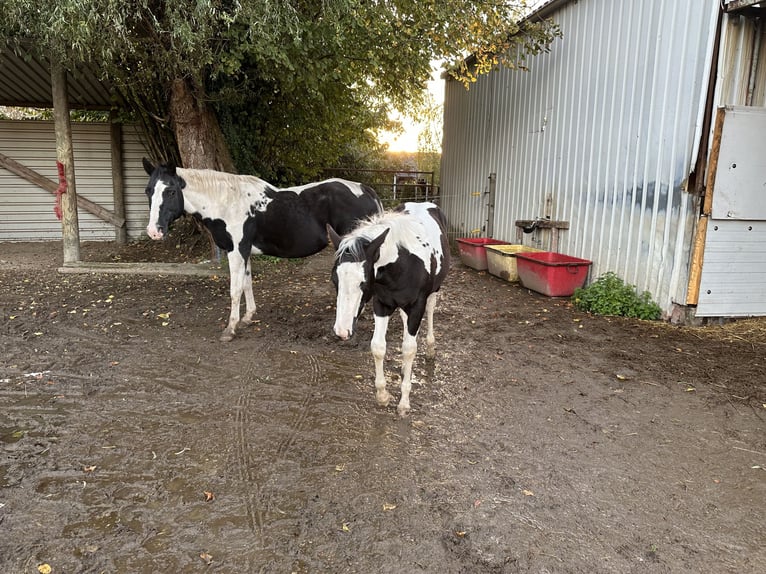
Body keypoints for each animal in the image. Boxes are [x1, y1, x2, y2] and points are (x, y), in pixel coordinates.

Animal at [142, 158, 383, 341]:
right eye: (148, 190)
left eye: (171, 191)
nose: (154, 231)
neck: (226, 203)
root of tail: (367, 190)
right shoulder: (244, 252)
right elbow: (247, 283)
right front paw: (247, 318)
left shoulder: (236, 251)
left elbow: (235, 289)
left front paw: (230, 329)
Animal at [328, 202, 450, 416]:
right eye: (335, 280)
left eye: (363, 282)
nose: (342, 331)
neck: (403, 265)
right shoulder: (382, 304)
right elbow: (378, 347)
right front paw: (383, 396)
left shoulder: (416, 306)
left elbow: (409, 348)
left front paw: (404, 403)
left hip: (434, 291)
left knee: (431, 310)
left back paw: (430, 348)